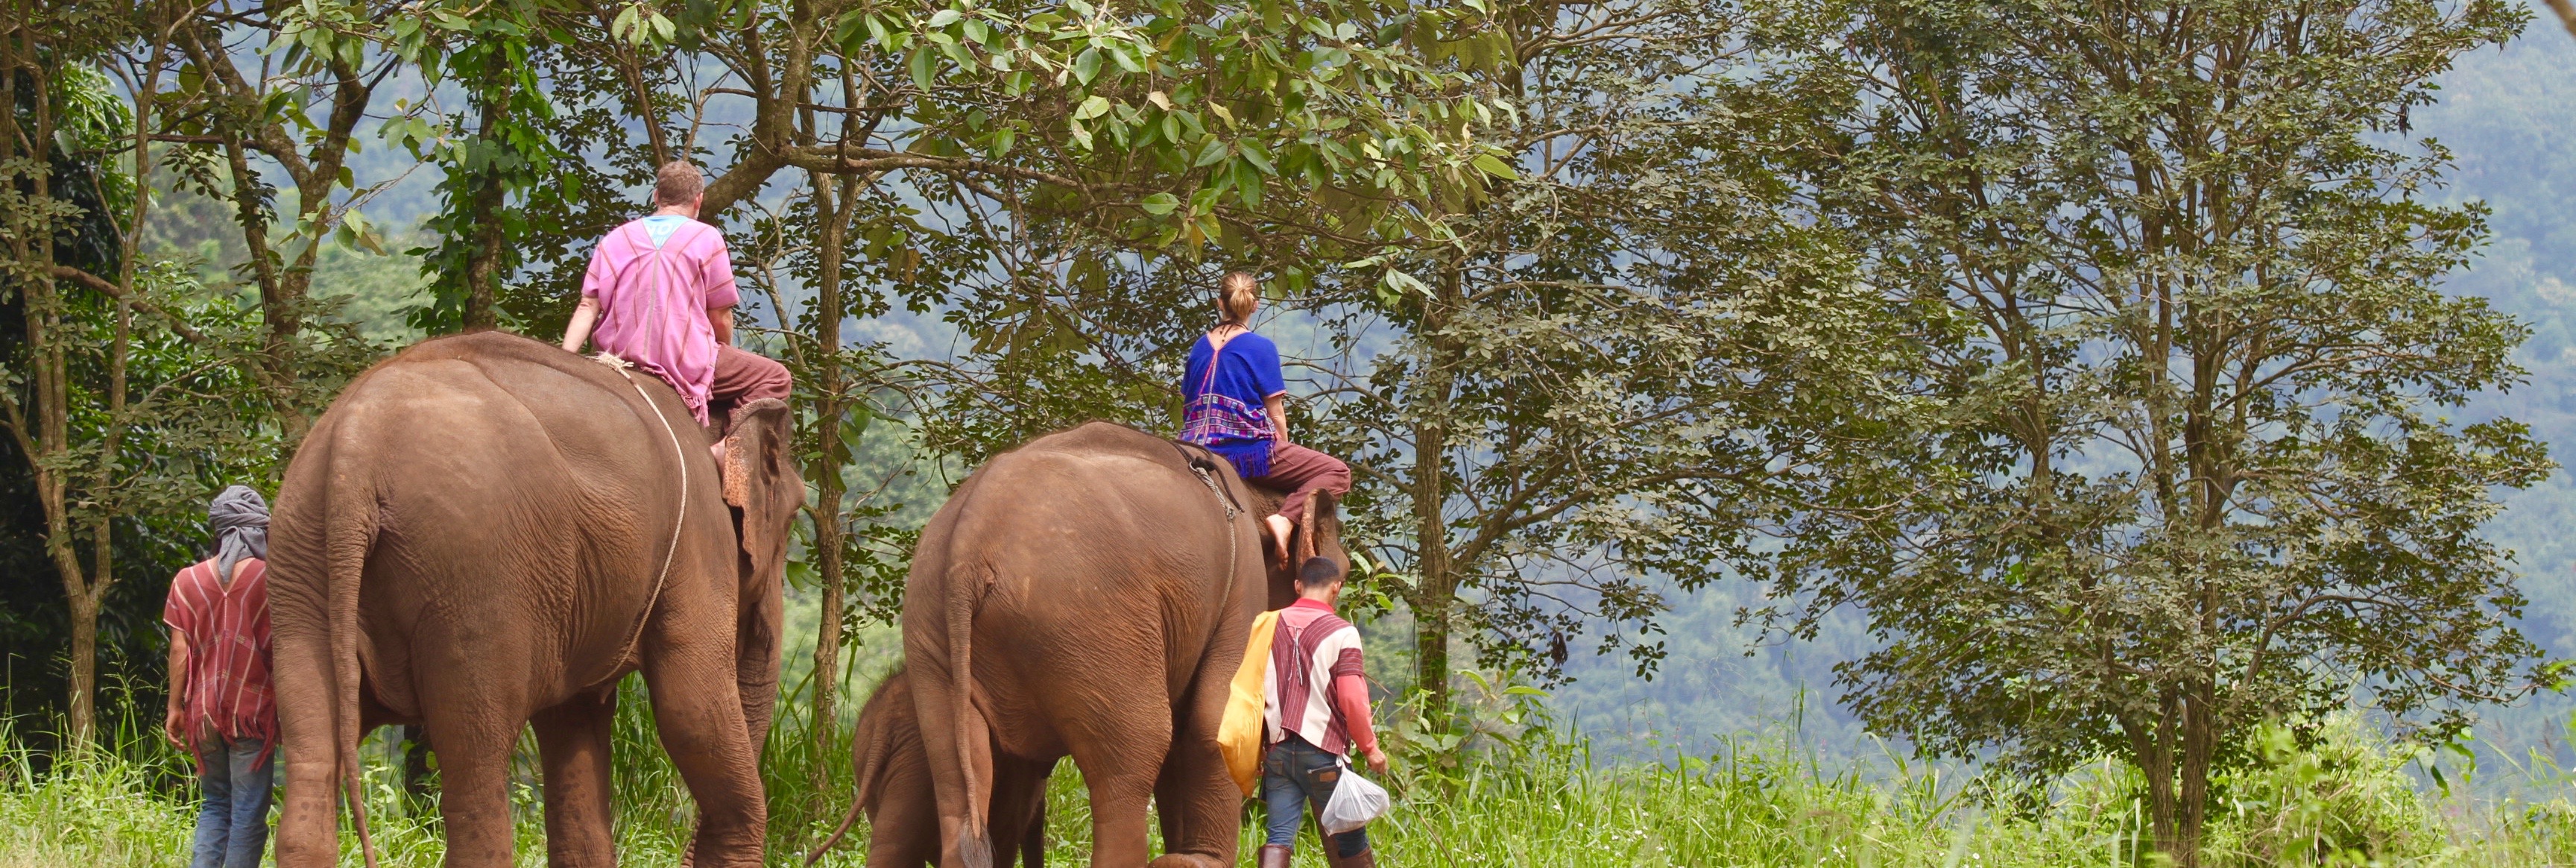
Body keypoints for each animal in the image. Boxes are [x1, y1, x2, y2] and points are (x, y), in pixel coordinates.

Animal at [266, 332, 798, 865]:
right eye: (795, 515)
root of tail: (355, 452)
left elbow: (574, 722)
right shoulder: (697, 541)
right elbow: (691, 710)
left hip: (300, 563)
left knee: (313, 751)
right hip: (475, 578)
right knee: (477, 765)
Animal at [901, 420, 1349, 865]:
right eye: (1341, 578)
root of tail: (968, 547)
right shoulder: (1243, 584)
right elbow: (1215, 718)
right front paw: (1200, 860)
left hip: (933, 635)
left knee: (958, 774)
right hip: (1088, 619)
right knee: (1136, 754)